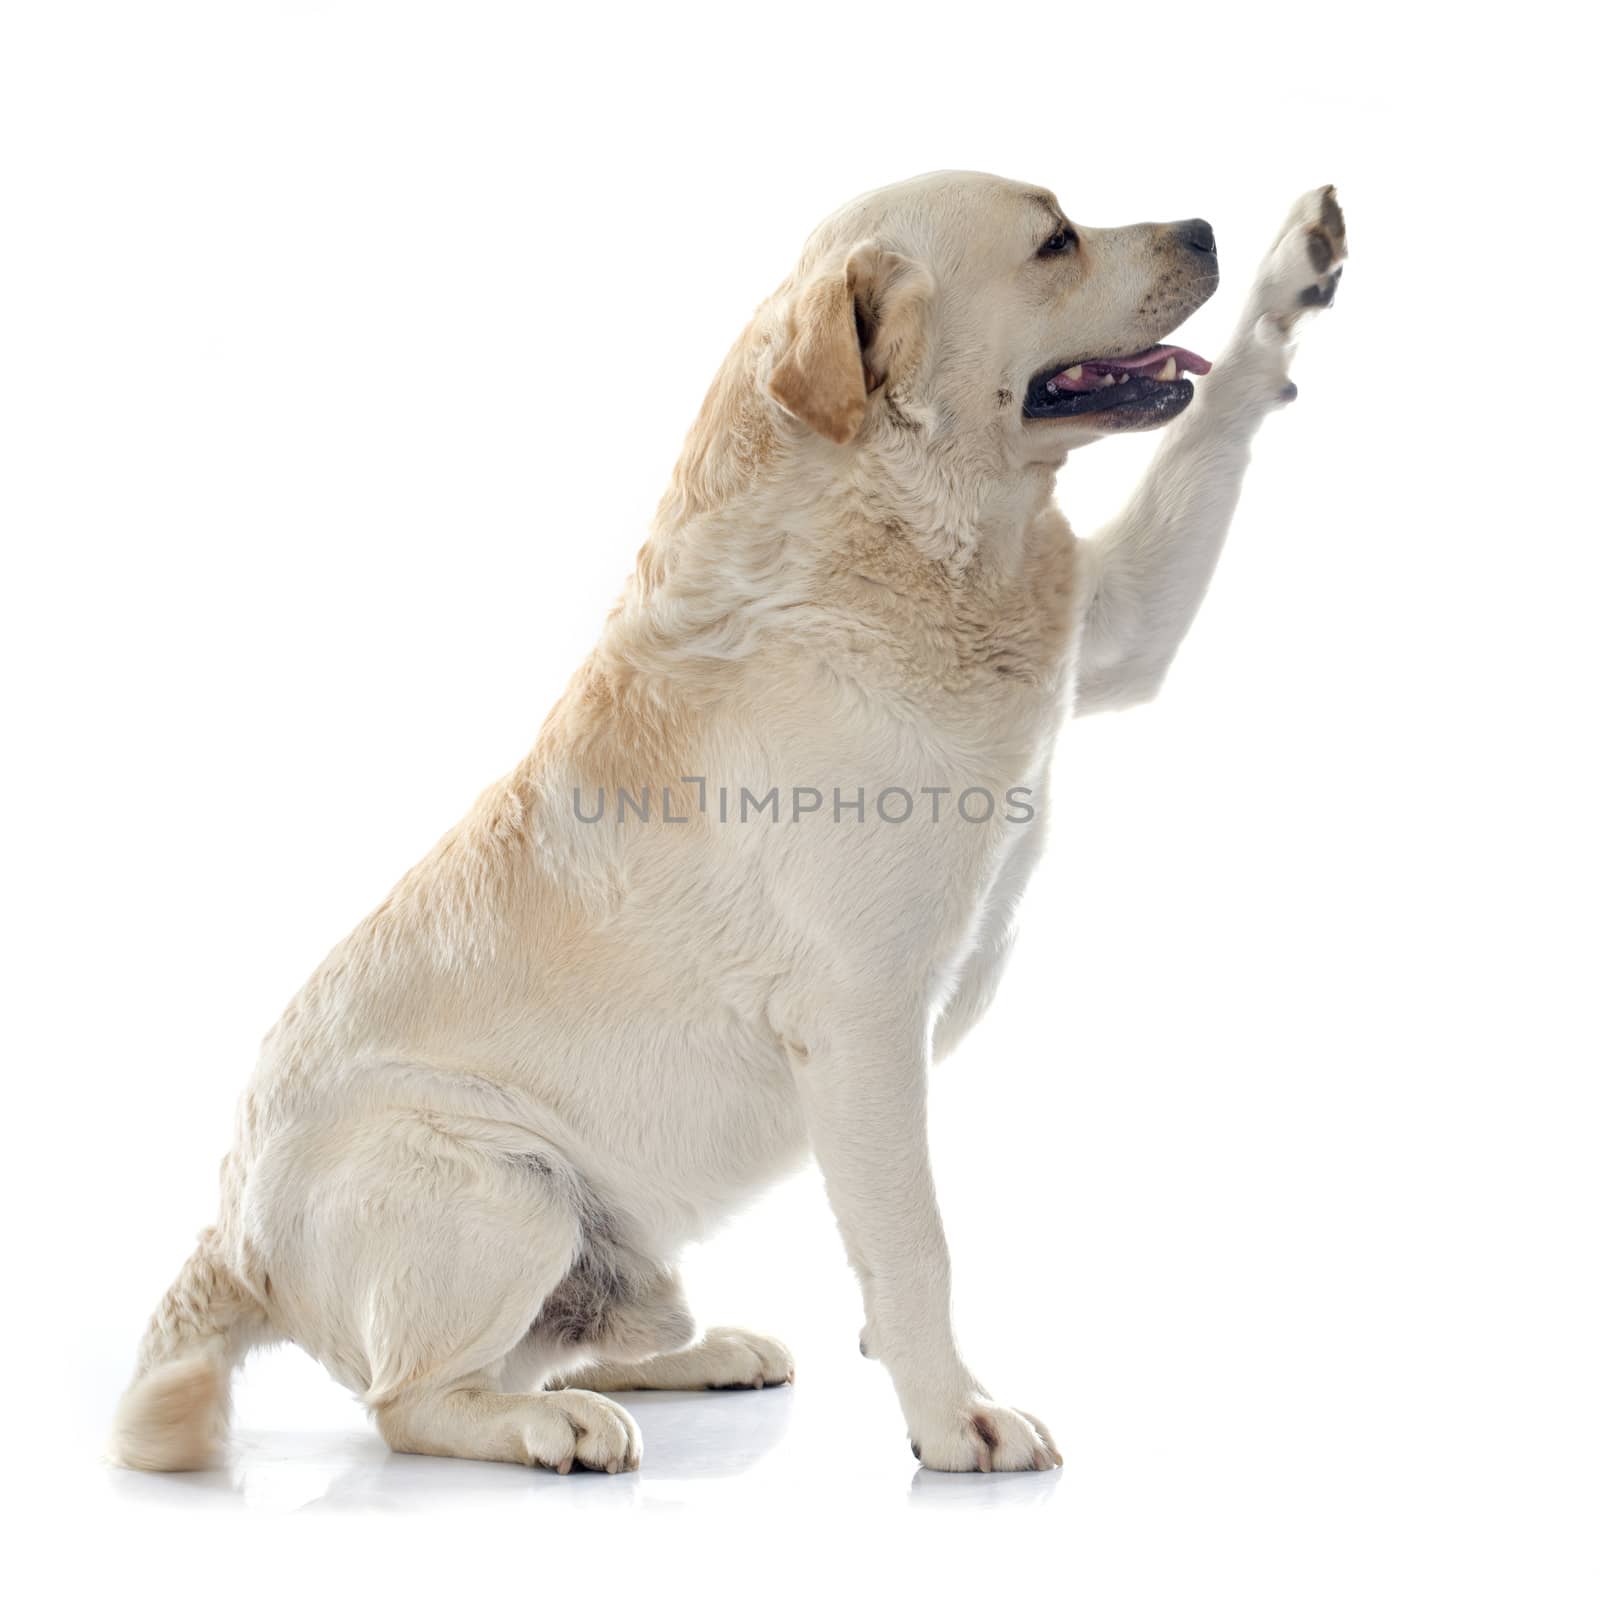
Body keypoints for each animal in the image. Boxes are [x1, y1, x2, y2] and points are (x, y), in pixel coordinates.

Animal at [112, 168, 1344, 1465]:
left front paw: (1296, 268)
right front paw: (952, 1417)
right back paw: (557, 1428)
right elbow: (915, 1243)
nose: (1203, 228)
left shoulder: (1113, 634)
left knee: (558, 1346)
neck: (911, 531)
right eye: (1054, 239)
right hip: (501, 1182)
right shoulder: (860, 1022)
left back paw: (696, 1357)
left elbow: (1213, 429)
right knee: (411, 1401)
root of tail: (228, 1241)